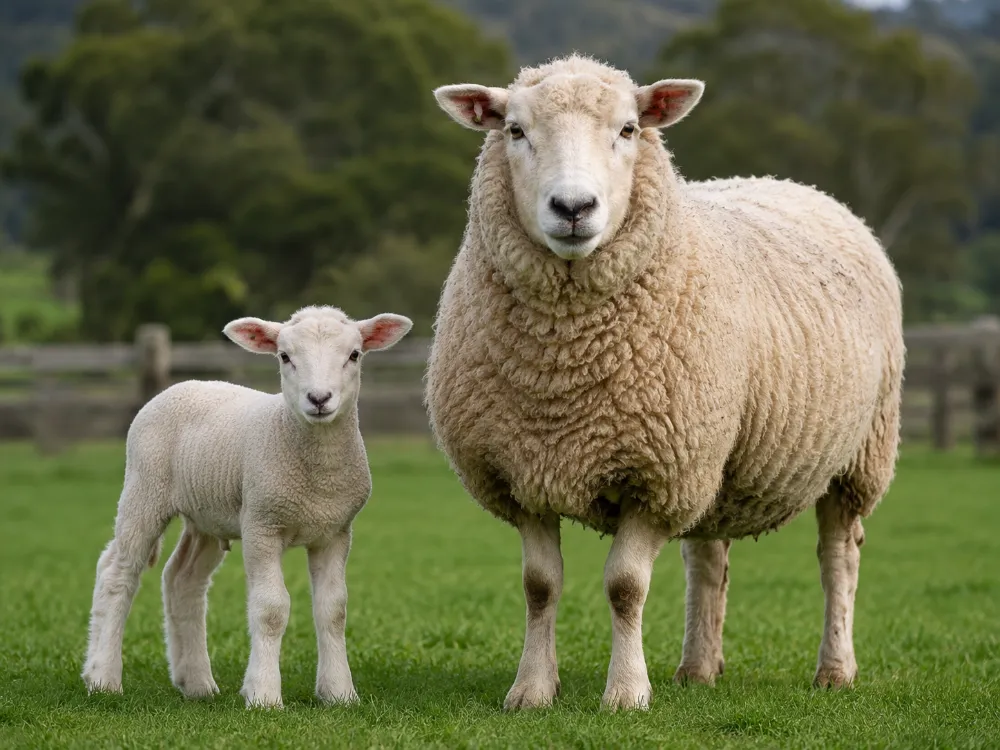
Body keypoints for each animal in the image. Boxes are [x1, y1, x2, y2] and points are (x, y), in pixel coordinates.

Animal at [82, 305, 413, 708]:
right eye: (284, 356)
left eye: (354, 355)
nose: (319, 399)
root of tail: (182, 385)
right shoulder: (262, 524)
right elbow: (271, 609)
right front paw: (264, 695)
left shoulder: (335, 532)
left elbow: (333, 609)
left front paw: (339, 693)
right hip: (144, 489)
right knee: (117, 573)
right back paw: (103, 677)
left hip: (206, 516)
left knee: (182, 580)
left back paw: (197, 684)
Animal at [426, 54, 904, 711]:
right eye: (515, 130)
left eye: (628, 129)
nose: (572, 207)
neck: (562, 370)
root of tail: (802, 187)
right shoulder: (523, 474)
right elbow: (539, 586)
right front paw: (531, 690)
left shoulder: (656, 476)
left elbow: (626, 586)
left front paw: (626, 693)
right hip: (711, 453)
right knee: (708, 557)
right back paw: (698, 667)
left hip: (856, 456)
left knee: (838, 557)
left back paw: (834, 669)